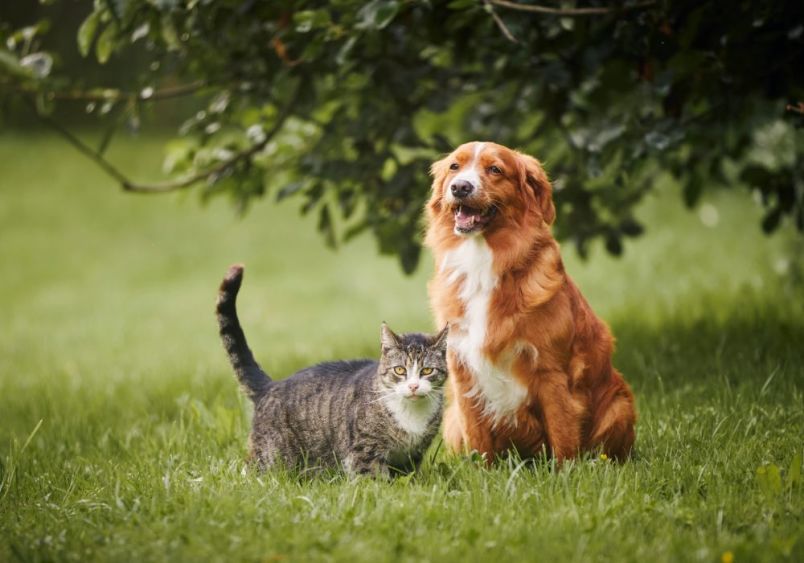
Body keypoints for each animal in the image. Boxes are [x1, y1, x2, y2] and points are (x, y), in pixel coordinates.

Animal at [217, 266, 450, 478]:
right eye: (400, 370)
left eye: (427, 370)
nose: (413, 386)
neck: (411, 415)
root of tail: (270, 386)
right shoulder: (364, 451)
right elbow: (372, 479)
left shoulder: (412, 455)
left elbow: (407, 477)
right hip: (271, 456)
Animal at [424, 141, 636, 462]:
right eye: (454, 167)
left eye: (495, 169)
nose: (460, 187)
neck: (483, 261)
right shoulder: (463, 371)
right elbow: (478, 441)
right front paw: (481, 472)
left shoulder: (551, 371)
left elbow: (562, 434)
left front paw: (566, 472)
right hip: (451, 420)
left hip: (619, 405)